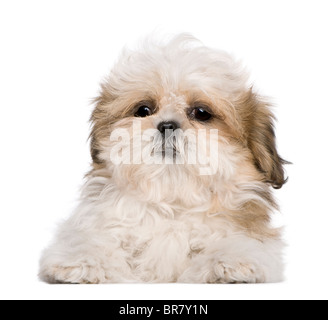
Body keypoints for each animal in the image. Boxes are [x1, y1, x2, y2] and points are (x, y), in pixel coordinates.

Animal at [40, 35, 288, 284]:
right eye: (143, 110)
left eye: (202, 113)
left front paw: (229, 261)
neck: (172, 201)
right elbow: (88, 240)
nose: (167, 125)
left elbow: (241, 244)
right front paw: (82, 261)